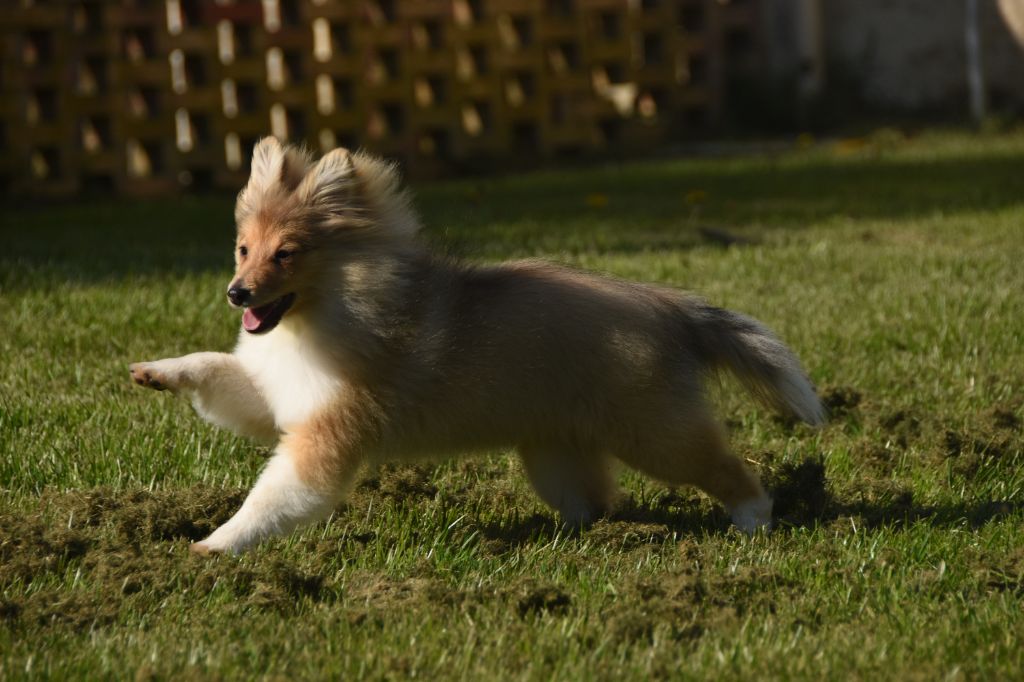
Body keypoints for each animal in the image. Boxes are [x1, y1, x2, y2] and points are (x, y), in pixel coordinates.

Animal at [130, 139, 823, 552]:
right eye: (244, 248)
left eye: (287, 254)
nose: (236, 294)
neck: (321, 315)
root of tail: (672, 309)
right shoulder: (278, 396)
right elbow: (215, 369)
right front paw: (152, 372)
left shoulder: (323, 437)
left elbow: (270, 498)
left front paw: (212, 547)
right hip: (555, 452)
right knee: (598, 500)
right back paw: (579, 538)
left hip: (655, 434)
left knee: (729, 470)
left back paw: (754, 523)